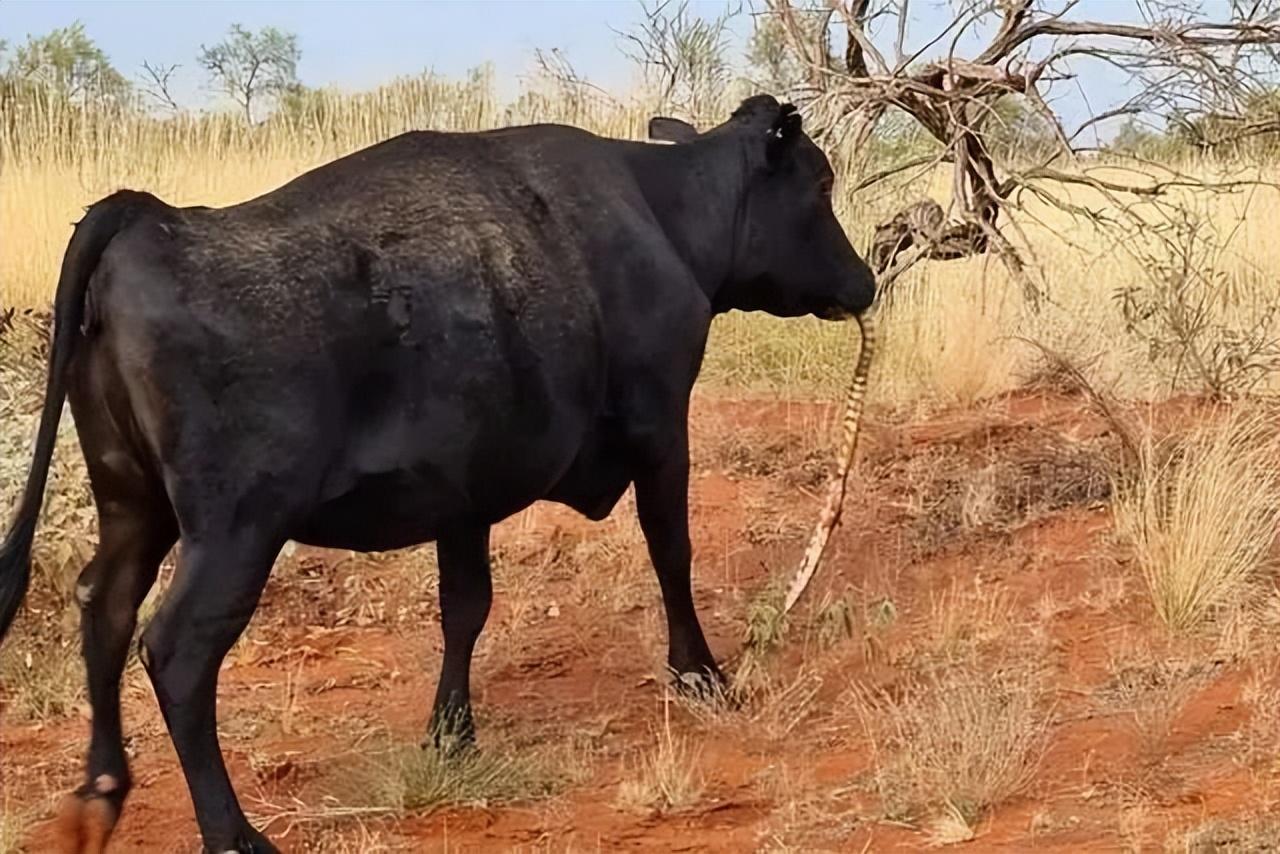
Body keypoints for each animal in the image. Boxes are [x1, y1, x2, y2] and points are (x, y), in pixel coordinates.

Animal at [0, 95, 875, 854]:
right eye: (821, 182)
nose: (865, 282)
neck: (662, 215)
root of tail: (149, 216)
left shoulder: (463, 493)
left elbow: (465, 608)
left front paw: (452, 732)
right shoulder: (662, 428)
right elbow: (672, 552)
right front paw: (701, 674)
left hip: (133, 503)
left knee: (104, 606)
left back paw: (101, 794)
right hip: (235, 529)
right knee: (177, 651)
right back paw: (232, 835)